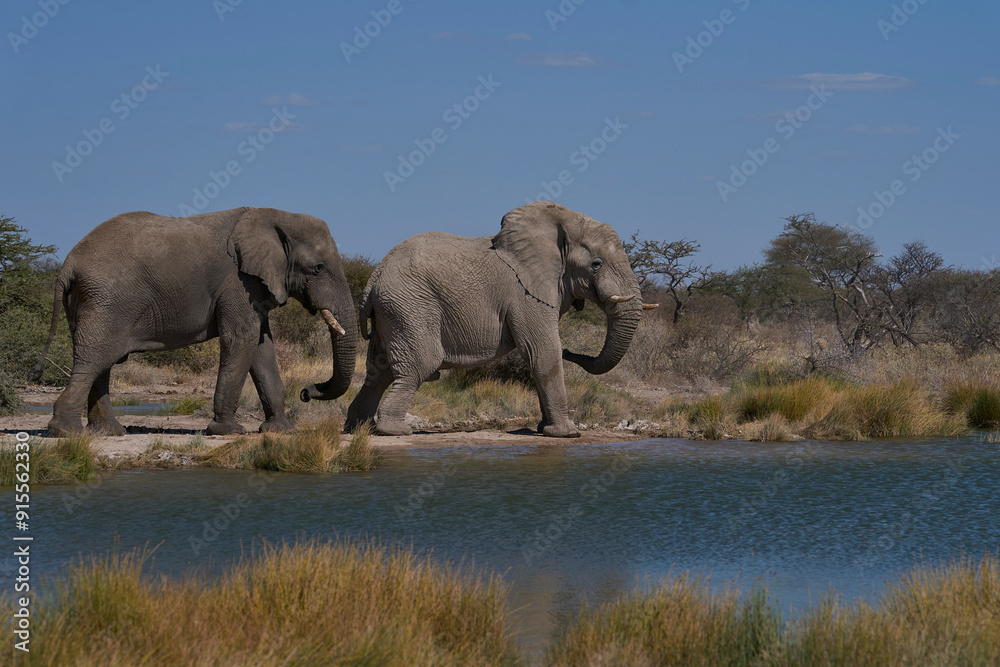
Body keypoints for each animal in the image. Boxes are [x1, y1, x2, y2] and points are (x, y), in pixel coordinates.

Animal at [32, 207, 358, 437]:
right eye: (318, 268)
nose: (306, 392)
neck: (275, 216)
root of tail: (69, 263)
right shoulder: (237, 282)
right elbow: (242, 339)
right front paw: (228, 432)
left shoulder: (254, 286)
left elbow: (261, 346)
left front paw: (282, 432)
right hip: (107, 300)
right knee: (94, 359)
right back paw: (66, 432)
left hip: (92, 301)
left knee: (102, 362)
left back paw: (109, 432)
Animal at [345, 201, 656, 438]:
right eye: (596, 264)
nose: (571, 351)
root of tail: (374, 277)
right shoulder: (525, 293)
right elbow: (542, 352)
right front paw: (567, 434)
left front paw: (545, 429)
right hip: (411, 306)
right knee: (420, 364)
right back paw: (394, 431)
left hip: (393, 310)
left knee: (379, 370)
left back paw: (358, 429)